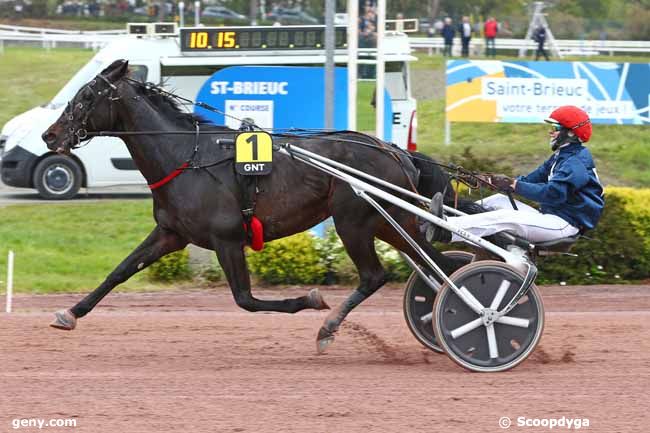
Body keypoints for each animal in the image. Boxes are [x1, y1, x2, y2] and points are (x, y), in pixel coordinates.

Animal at [40, 60, 464, 352]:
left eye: (86, 97)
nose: (50, 135)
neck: (186, 156)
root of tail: (393, 150)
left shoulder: (227, 240)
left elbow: (246, 300)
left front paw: (309, 299)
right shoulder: (171, 234)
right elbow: (120, 271)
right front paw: (70, 313)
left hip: (355, 221)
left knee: (377, 275)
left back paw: (329, 328)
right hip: (389, 221)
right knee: (435, 264)